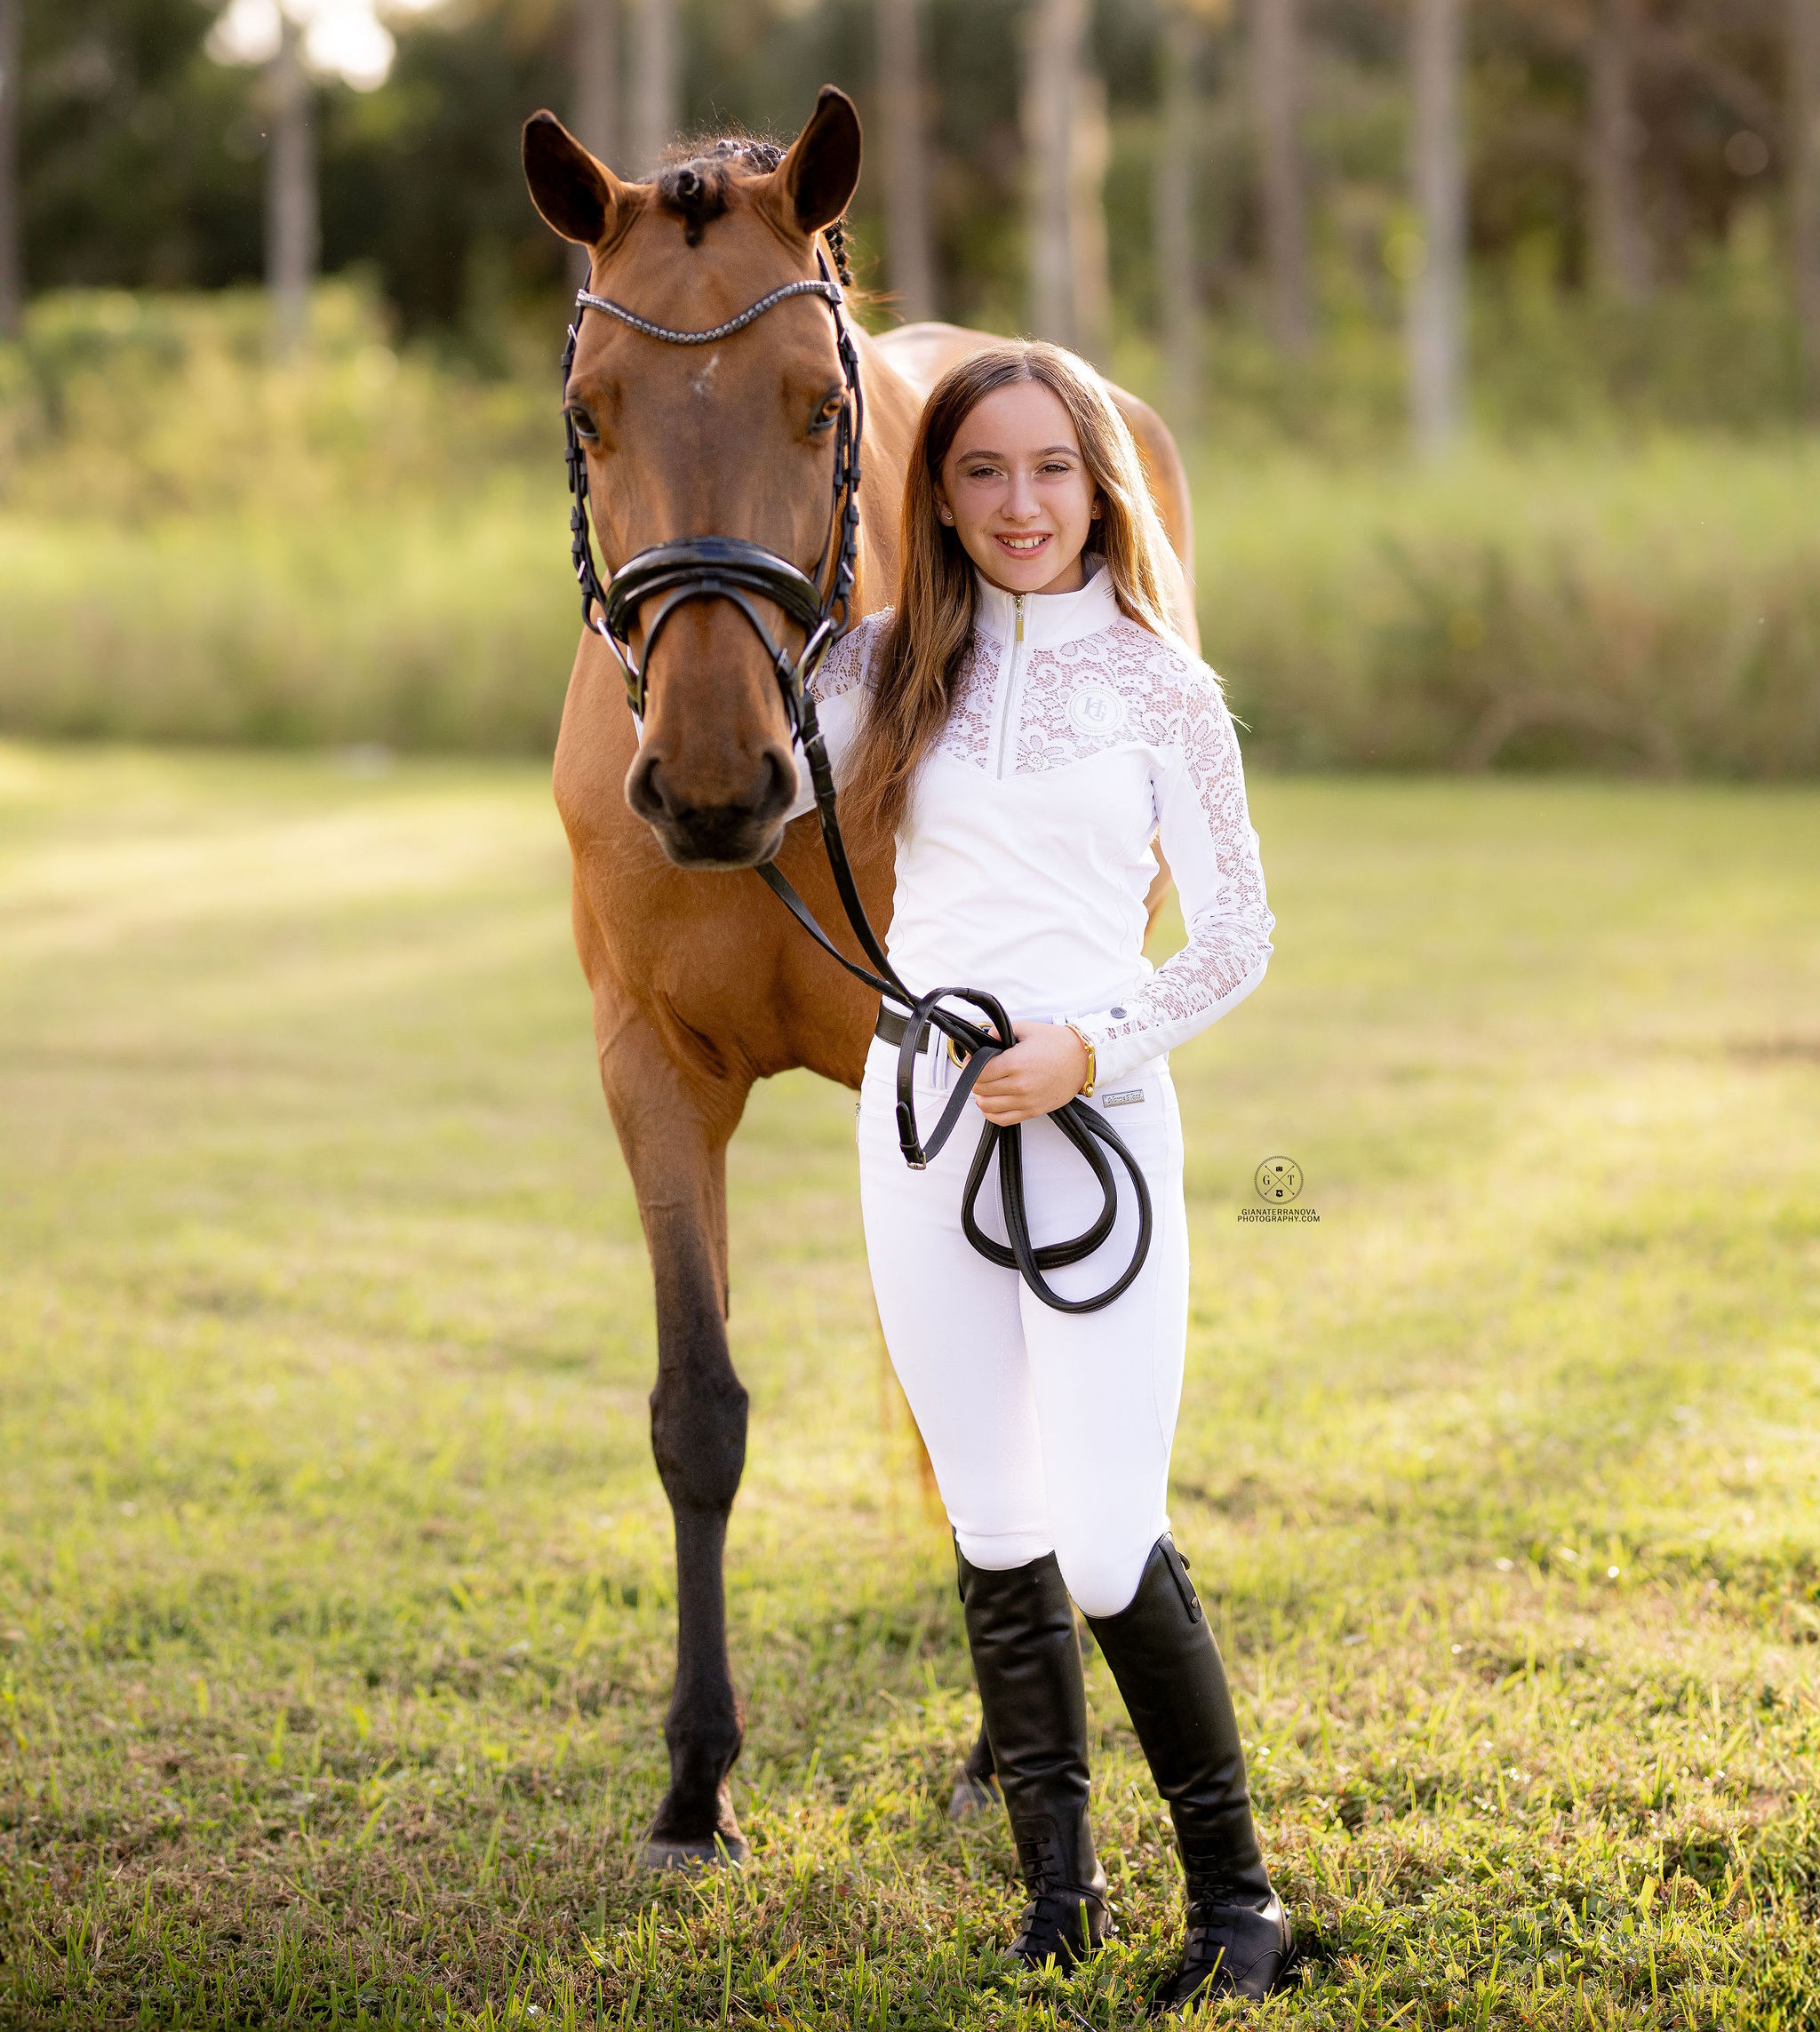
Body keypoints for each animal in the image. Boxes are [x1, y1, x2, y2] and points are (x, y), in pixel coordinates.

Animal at [521, 84, 1202, 1866]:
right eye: (590, 414)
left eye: (820, 404)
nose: (711, 783)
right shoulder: (650, 1071)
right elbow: (697, 1412)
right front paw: (695, 1783)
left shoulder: (968, 1058)